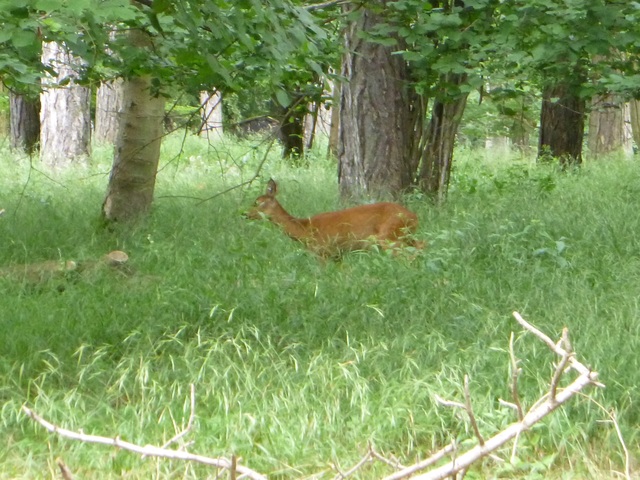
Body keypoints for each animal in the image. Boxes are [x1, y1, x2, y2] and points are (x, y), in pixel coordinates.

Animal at [244, 178, 420, 256]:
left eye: (257, 202)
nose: (245, 214)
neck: (305, 230)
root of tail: (414, 216)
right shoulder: (338, 255)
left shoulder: (323, 251)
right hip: (403, 235)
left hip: (390, 236)